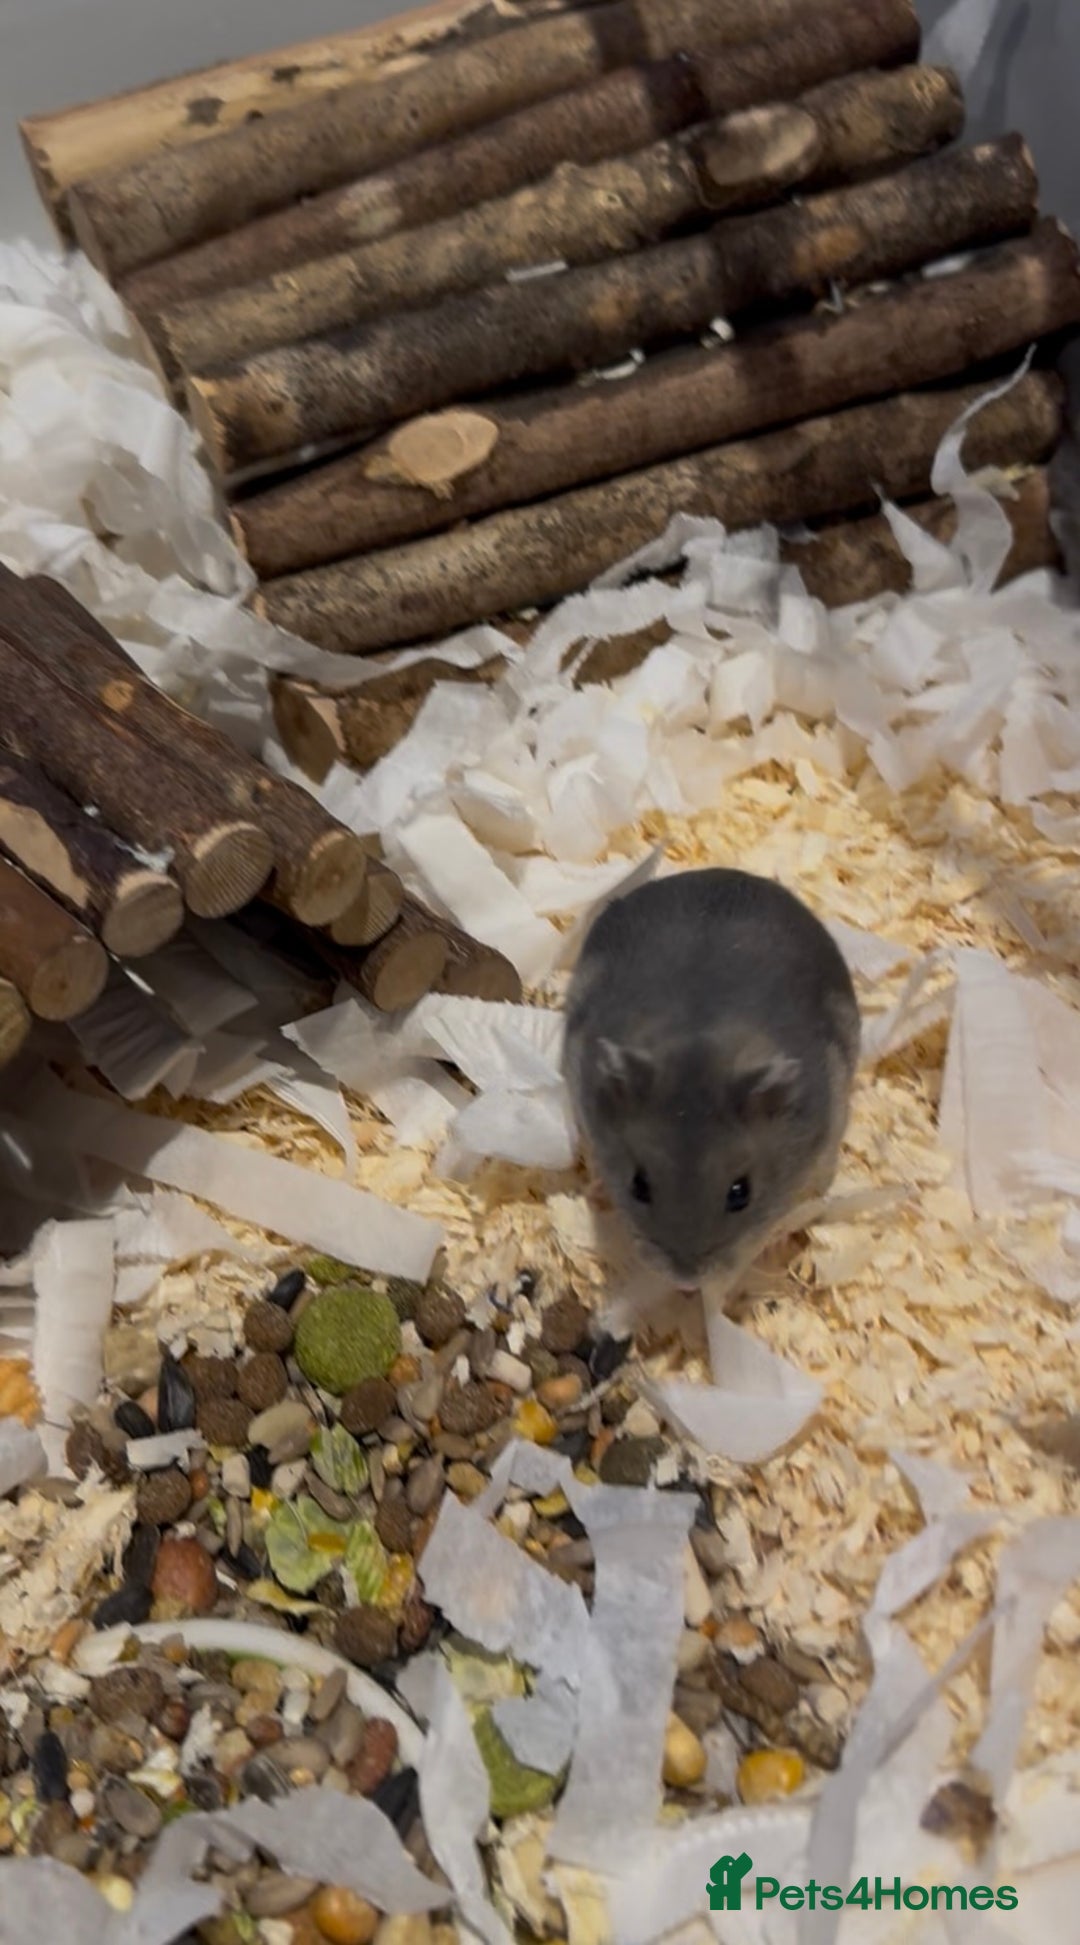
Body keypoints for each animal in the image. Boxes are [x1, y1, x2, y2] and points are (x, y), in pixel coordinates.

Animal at [562, 867, 860, 1293]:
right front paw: (597, 1190)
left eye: (740, 1193)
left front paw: (775, 1245)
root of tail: (722, 872)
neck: (701, 1042)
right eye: (639, 1185)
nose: (687, 1280)